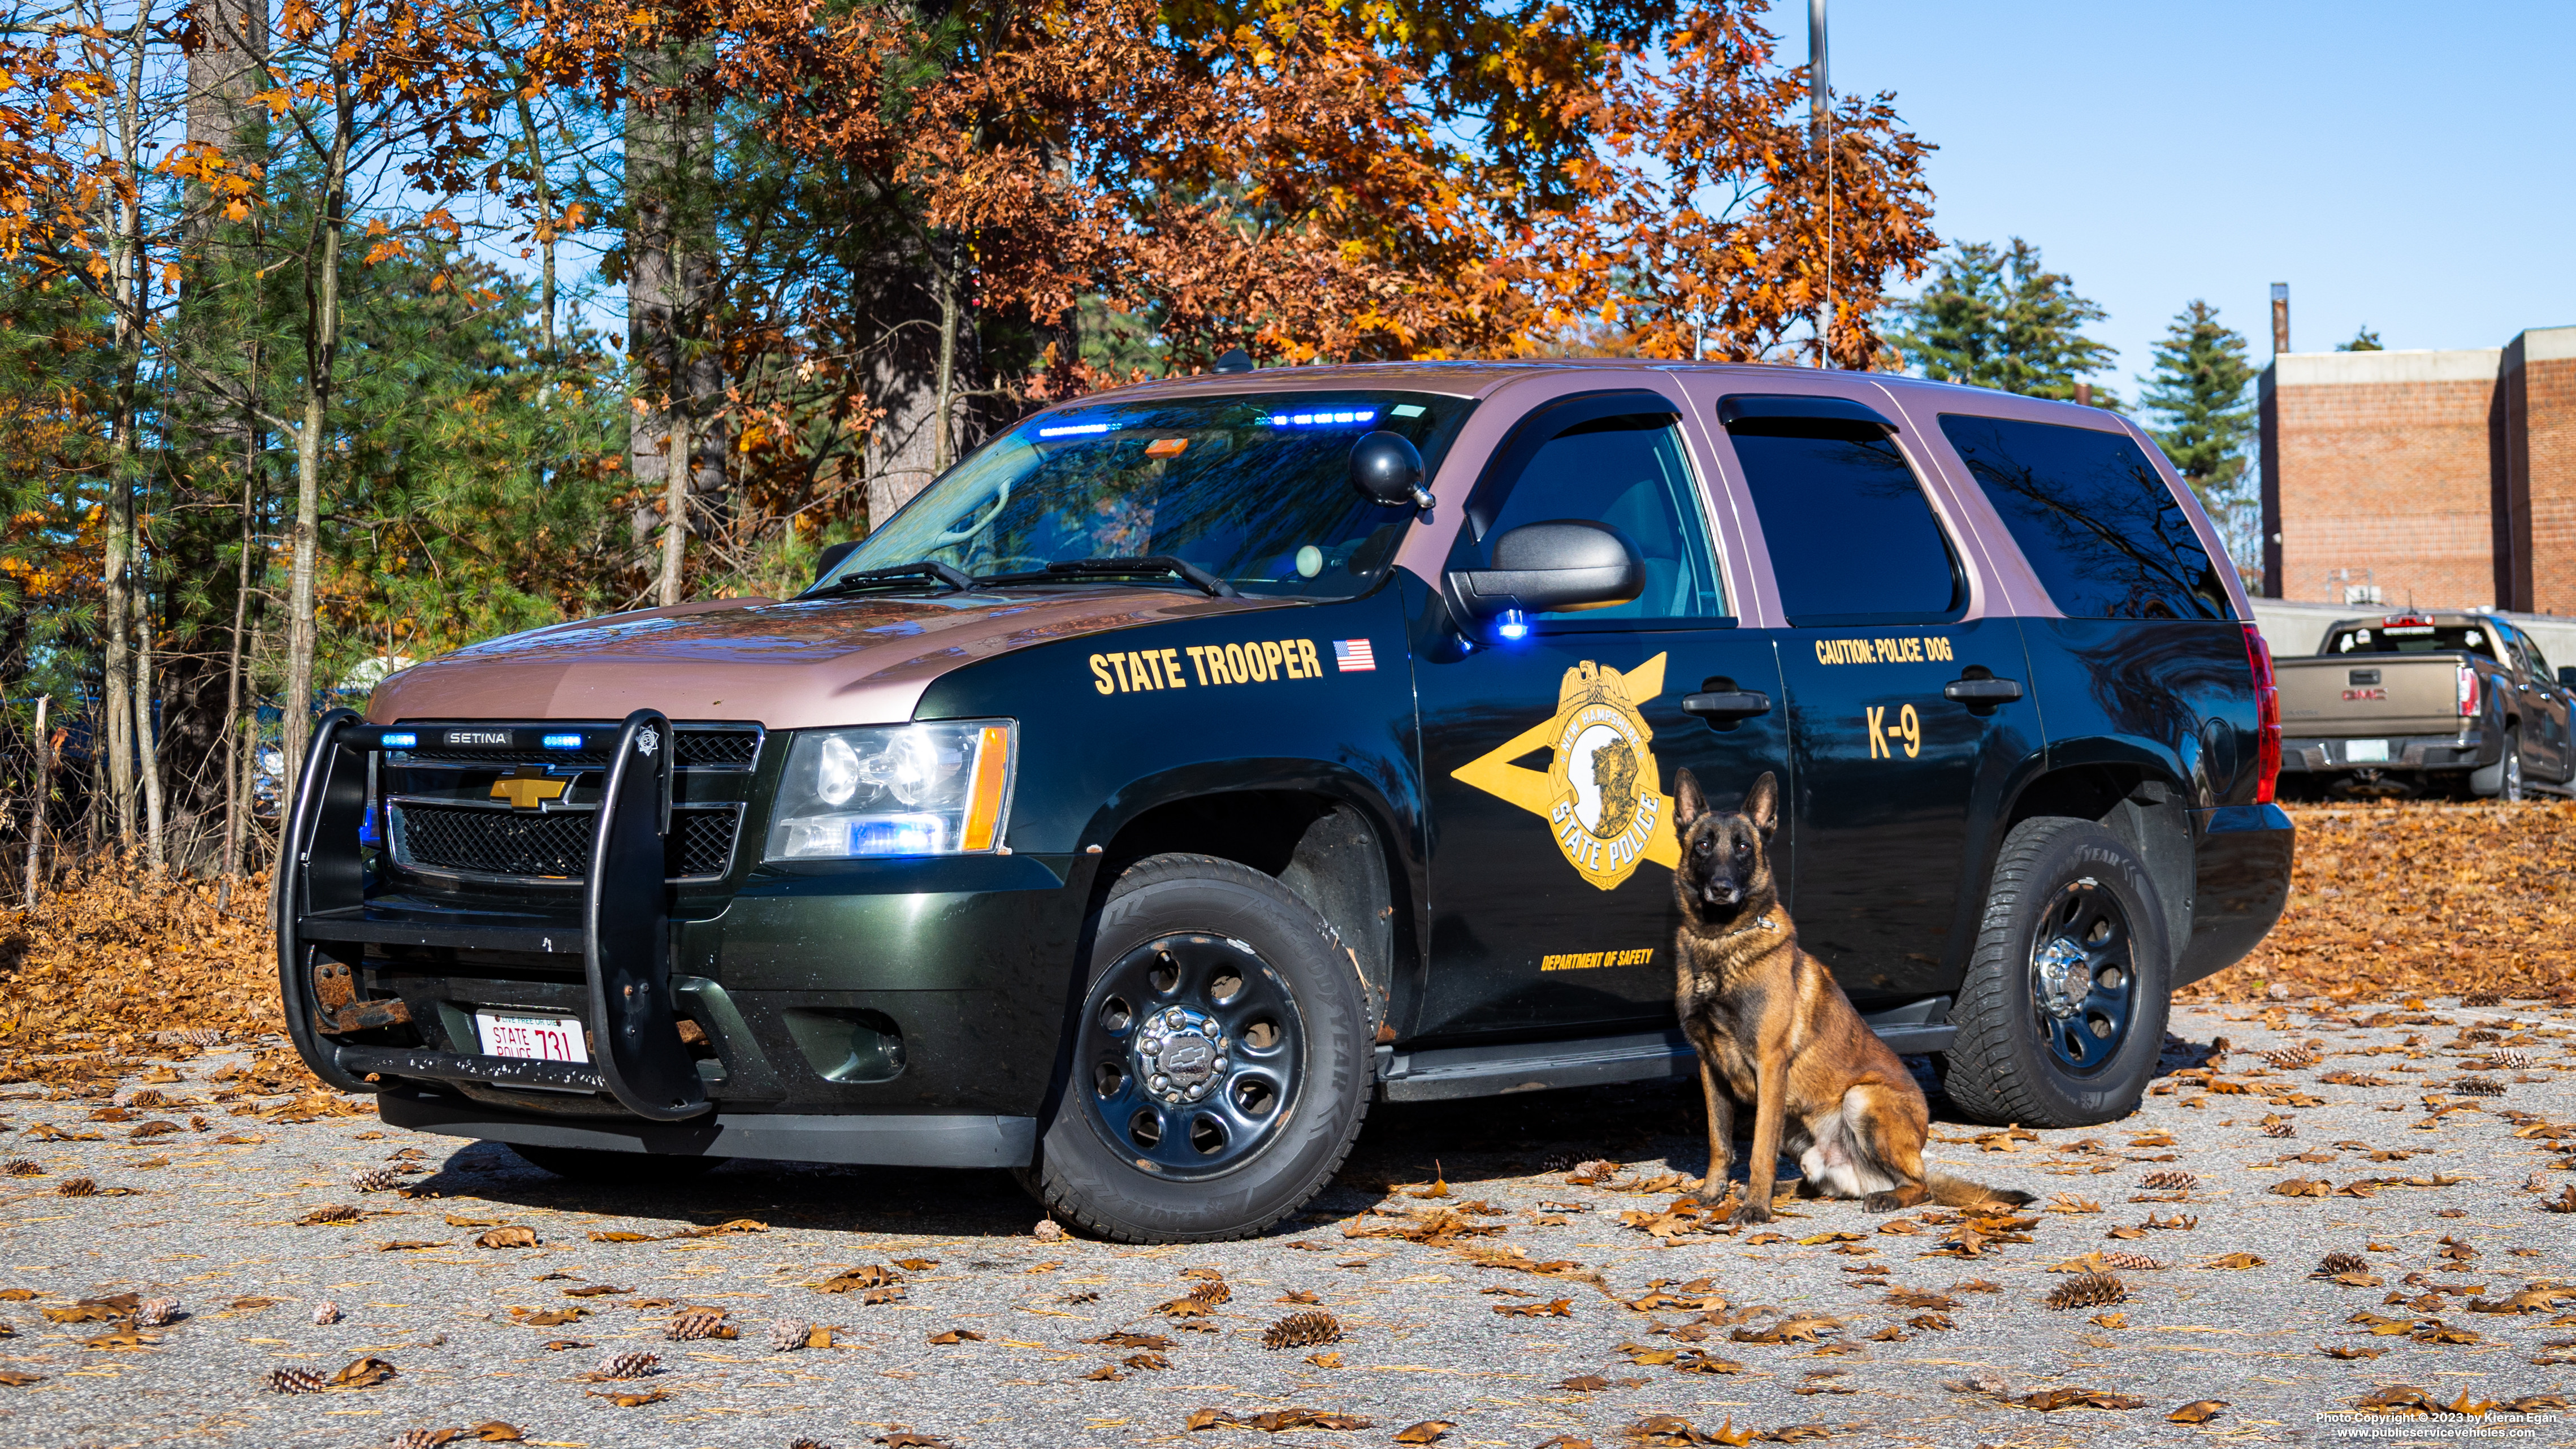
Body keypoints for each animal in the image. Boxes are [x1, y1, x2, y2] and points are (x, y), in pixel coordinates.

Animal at [1669, 768, 2029, 1217]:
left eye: (1743, 848)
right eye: (1703, 845)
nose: (1721, 888)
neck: (1721, 939)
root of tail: (1863, 1176)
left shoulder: (1770, 1064)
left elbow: (1758, 1149)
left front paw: (1755, 1207)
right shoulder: (1710, 1067)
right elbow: (1719, 1143)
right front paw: (1711, 1193)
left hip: (1860, 1099)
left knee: (1921, 1185)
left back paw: (1885, 1197)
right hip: (1798, 1125)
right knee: (1817, 1185)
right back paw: (1783, 1189)